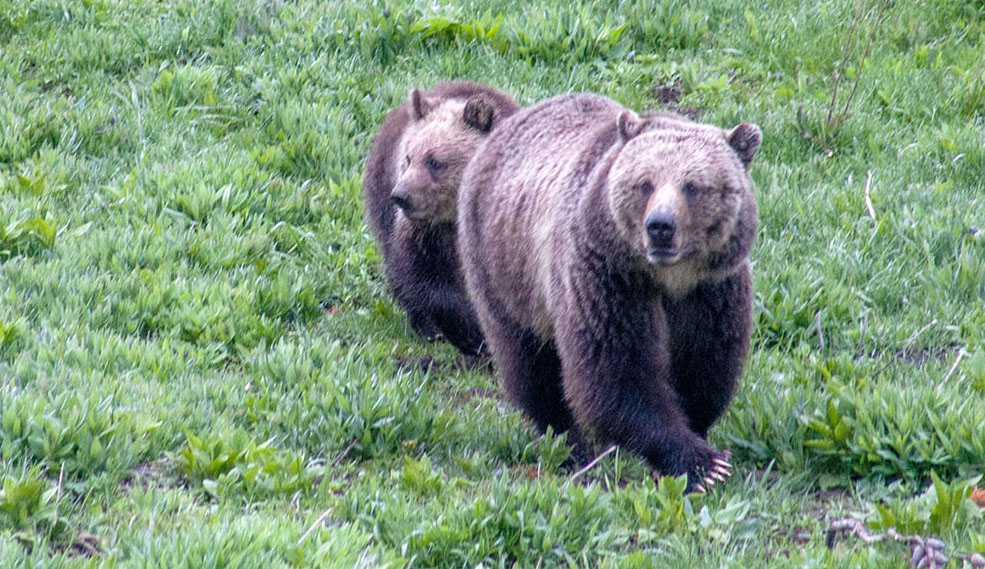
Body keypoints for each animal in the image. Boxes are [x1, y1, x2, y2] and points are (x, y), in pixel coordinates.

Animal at [362, 81, 519, 355]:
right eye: (408, 158)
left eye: (434, 161)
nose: (401, 195)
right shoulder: (426, 231)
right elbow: (428, 280)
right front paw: (468, 333)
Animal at [458, 93, 761, 492]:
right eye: (645, 183)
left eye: (693, 186)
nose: (660, 226)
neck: (669, 277)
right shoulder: (606, 277)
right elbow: (616, 372)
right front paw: (702, 464)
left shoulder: (713, 289)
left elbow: (705, 363)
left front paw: (699, 439)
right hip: (504, 271)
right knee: (529, 363)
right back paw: (567, 441)